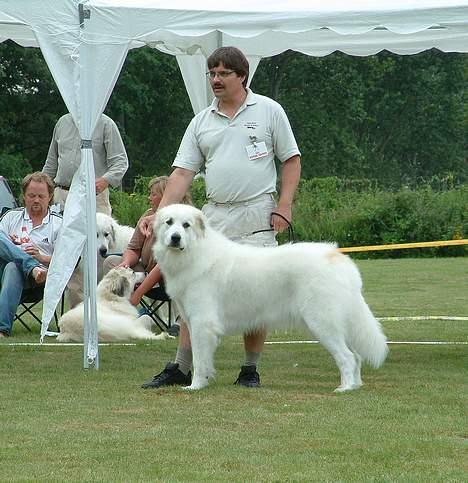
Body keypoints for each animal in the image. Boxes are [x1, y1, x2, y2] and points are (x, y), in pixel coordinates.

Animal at [153, 204, 388, 394]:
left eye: (186, 225)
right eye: (169, 222)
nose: (175, 238)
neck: (194, 253)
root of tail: (337, 257)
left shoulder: (203, 323)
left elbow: (200, 360)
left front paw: (196, 386)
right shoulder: (192, 322)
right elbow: (200, 357)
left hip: (323, 323)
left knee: (347, 357)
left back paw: (344, 388)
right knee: (356, 356)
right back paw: (354, 385)